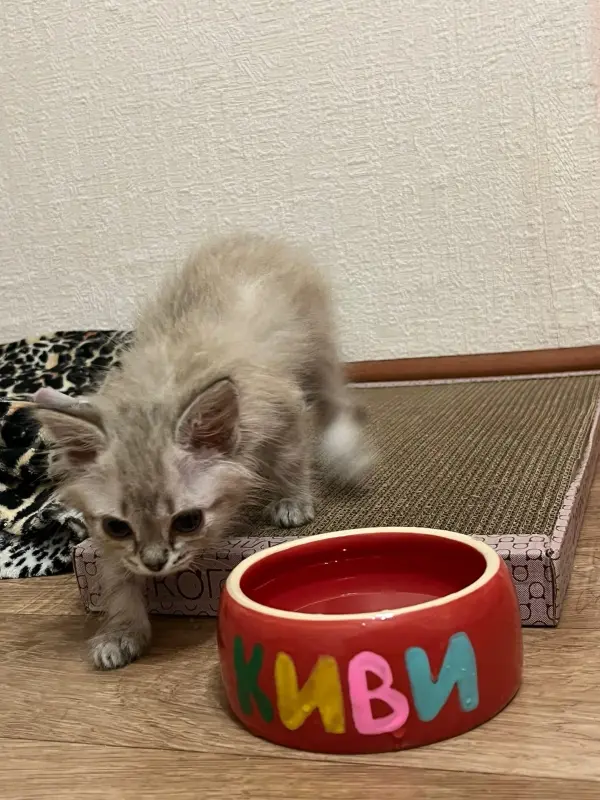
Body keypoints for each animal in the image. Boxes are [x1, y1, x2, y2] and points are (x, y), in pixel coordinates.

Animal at [33, 233, 371, 670]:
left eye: (188, 521)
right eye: (118, 527)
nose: (155, 564)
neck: (156, 398)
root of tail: (251, 237)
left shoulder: (283, 406)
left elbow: (290, 460)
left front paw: (292, 501)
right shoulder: (105, 538)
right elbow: (117, 576)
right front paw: (121, 631)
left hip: (317, 347)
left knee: (335, 399)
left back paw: (345, 450)